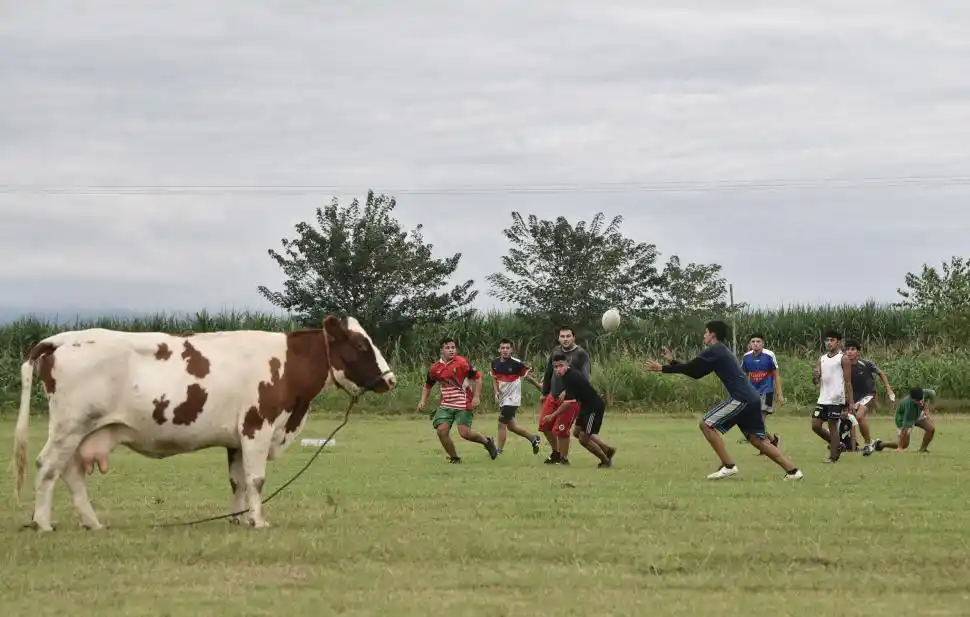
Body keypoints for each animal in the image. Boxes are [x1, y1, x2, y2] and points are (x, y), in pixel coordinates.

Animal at [12, 315, 396, 532]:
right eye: (362, 344)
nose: (391, 379)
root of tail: (62, 339)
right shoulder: (257, 427)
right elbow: (256, 480)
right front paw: (258, 522)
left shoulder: (236, 439)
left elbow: (237, 481)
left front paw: (238, 519)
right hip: (69, 426)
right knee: (47, 466)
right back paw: (43, 523)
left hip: (83, 431)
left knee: (71, 472)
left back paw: (92, 523)